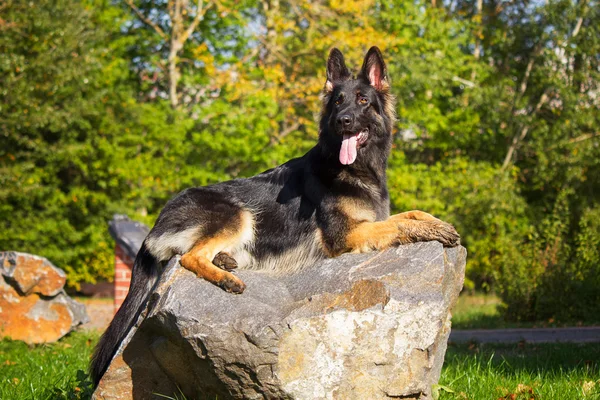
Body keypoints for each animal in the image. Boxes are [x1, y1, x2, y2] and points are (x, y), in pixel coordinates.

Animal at [90, 46, 460, 384]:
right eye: (338, 101)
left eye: (363, 101)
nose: (343, 120)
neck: (354, 169)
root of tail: (157, 222)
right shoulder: (346, 234)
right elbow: (398, 225)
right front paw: (432, 232)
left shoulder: (372, 218)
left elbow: (409, 213)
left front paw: (437, 222)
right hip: (237, 214)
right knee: (189, 256)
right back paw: (226, 278)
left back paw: (226, 262)